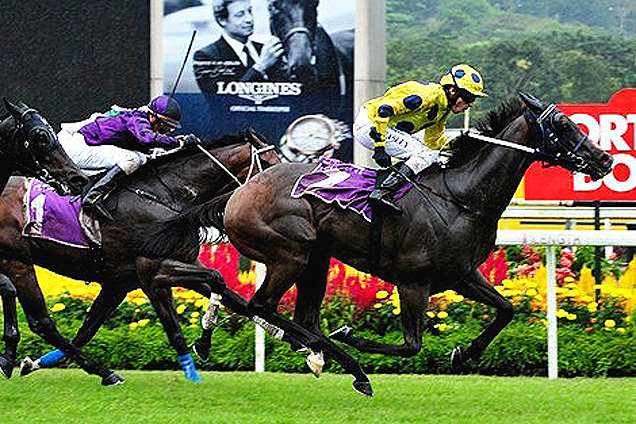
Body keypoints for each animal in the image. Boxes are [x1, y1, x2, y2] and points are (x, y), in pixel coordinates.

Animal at [1, 129, 278, 384]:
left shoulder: (124, 281)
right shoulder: (153, 273)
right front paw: (196, 364)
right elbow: (184, 317)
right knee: (39, 319)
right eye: (270, 164)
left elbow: (86, 330)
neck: (166, 198)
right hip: (17, 260)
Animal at [157, 93, 612, 394]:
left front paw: (463, 353)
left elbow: (505, 309)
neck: (461, 197)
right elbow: (412, 345)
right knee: (263, 306)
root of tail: (238, 192)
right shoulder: (414, 281)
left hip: (316, 257)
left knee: (301, 319)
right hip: (290, 253)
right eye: (562, 125)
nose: (605, 160)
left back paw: (320, 355)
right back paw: (344, 360)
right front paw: (352, 334)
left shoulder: (461, 274)